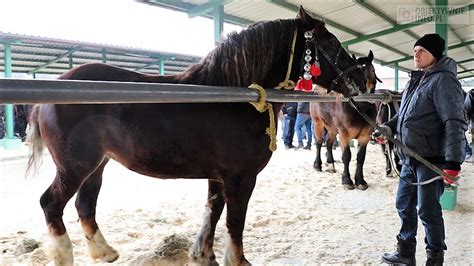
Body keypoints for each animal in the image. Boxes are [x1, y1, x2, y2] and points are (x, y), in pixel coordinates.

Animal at [25, 6, 366, 266]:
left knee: (85, 205)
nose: (361, 83)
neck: (231, 99)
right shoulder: (241, 178)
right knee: (50, 203)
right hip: (75, 166)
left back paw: (104, 252)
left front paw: (204, 255)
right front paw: (237, 260)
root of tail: (49, 92)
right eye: (331, 42)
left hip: (97, 165)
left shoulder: (218, 176)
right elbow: (234, 221)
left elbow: (212, 213)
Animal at [310, 51, 380, 190]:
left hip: (332, 128)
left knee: (329, 143)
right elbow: (347, 156)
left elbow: (361, 158)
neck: (359, 107)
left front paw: (360, 181)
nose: (364, 88)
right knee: (319, 143)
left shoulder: (365, 136)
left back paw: (330, 164)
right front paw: (347, 180)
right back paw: (318, 165)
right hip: (318, 123)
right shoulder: (344, 134)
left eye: (372, 69)